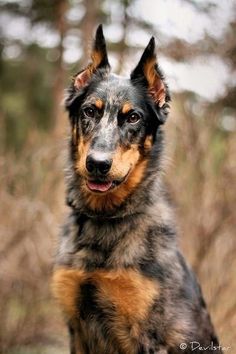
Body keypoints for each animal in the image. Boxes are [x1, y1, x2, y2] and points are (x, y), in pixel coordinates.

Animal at [52, 25, 223, 354]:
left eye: (133, 117)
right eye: (89, 111)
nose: (97, 164)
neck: (105, 220)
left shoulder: (148, 336)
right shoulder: (76, 328)